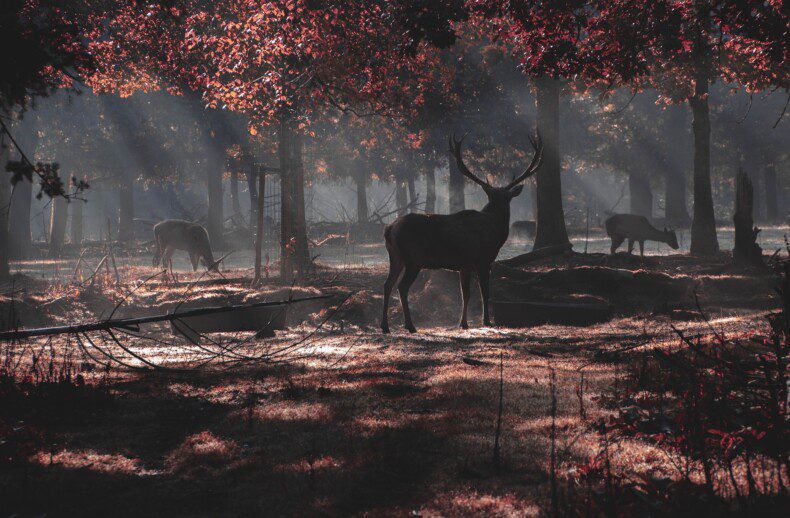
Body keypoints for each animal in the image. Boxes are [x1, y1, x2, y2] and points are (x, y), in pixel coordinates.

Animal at [381, 132, 543, 333]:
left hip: (395, 256)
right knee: (402, 287)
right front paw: (486, 321)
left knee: (387, 284)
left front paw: (463, 323)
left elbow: (465, 294)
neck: (495, 232)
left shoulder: (464, 265)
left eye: (506, 198)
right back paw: (410, 326)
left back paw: (385, 326)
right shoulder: (483, 259)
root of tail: (389, 229)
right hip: (414, 257)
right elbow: (484, 292)